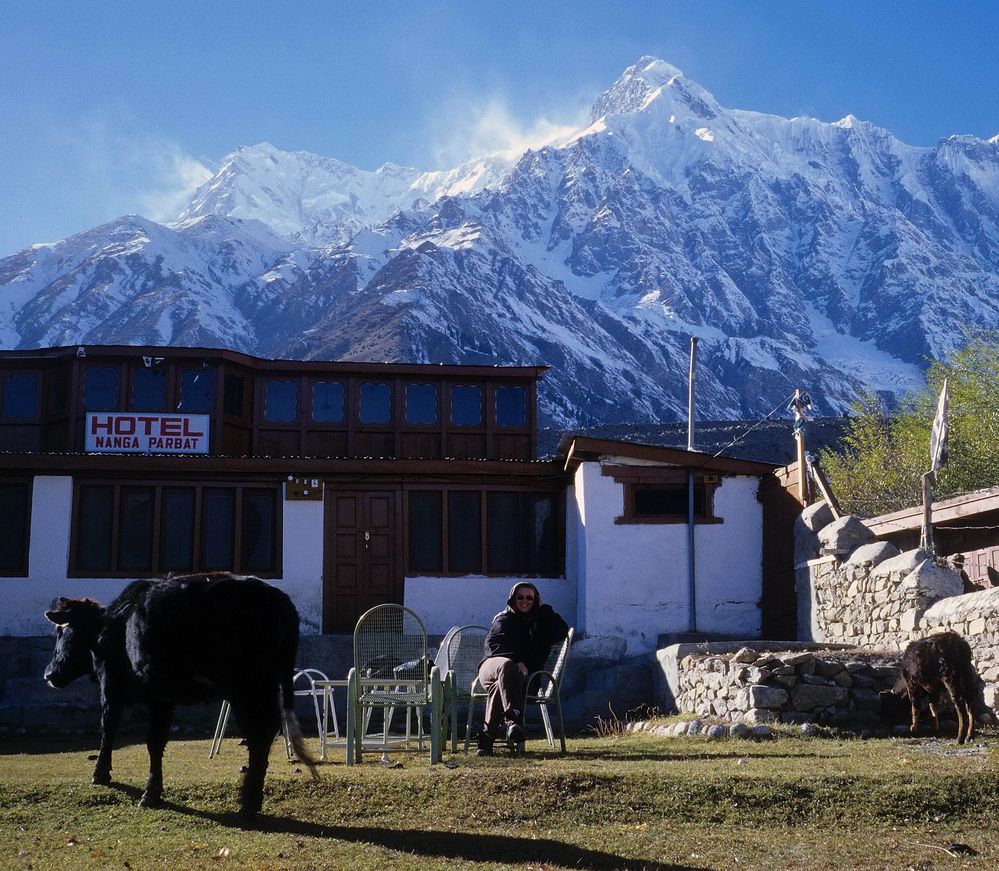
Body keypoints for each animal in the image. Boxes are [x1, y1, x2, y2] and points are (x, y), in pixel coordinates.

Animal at [45, 572, 318, 816]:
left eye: (61, 632)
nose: (48, 674)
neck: (110, 627)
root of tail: (279, 600)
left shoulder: (119, 687)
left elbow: (121, 732)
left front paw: (125, 783)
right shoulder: (159, 697)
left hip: (247, 689)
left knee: (258, 733)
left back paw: (248, 802)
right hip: (264, 686)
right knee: (265, 732)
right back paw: (253, 799)